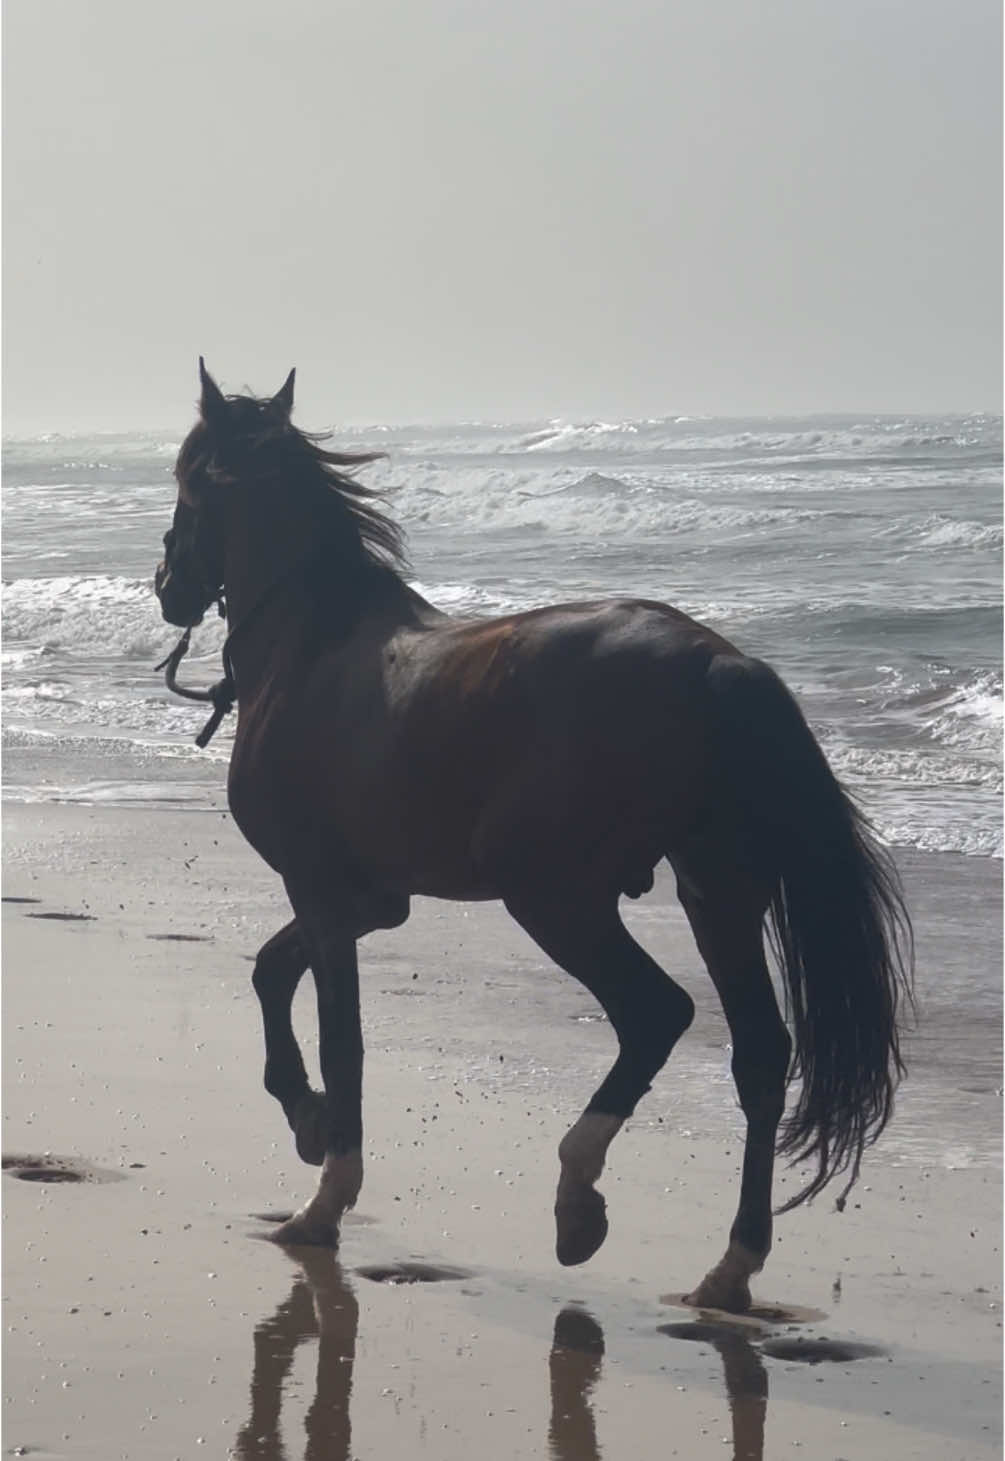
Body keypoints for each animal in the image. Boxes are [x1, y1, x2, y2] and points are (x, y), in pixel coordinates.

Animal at [153, 362, 917, 1314]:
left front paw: (323, 1186)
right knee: (759, 1054)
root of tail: (719, 664)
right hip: (717, 891)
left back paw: (577, 1193)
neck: (311, 647)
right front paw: (306, 1116)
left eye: (185, 477)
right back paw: (730, 1263)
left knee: (656, 1013)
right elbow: (269, 971)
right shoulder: (371, 899)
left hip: (557, 898)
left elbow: (340, 1036)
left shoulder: (325, 894)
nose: (166, 584)